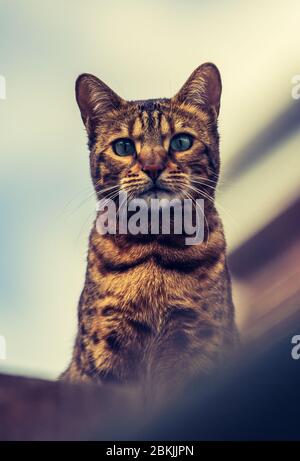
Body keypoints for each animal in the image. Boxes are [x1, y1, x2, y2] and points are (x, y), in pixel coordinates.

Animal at [61, 62, 239, 402]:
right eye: (124, 146)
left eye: (181, 142)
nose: (153, 167)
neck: (154, 250)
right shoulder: (105, 349)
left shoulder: (196, 342)